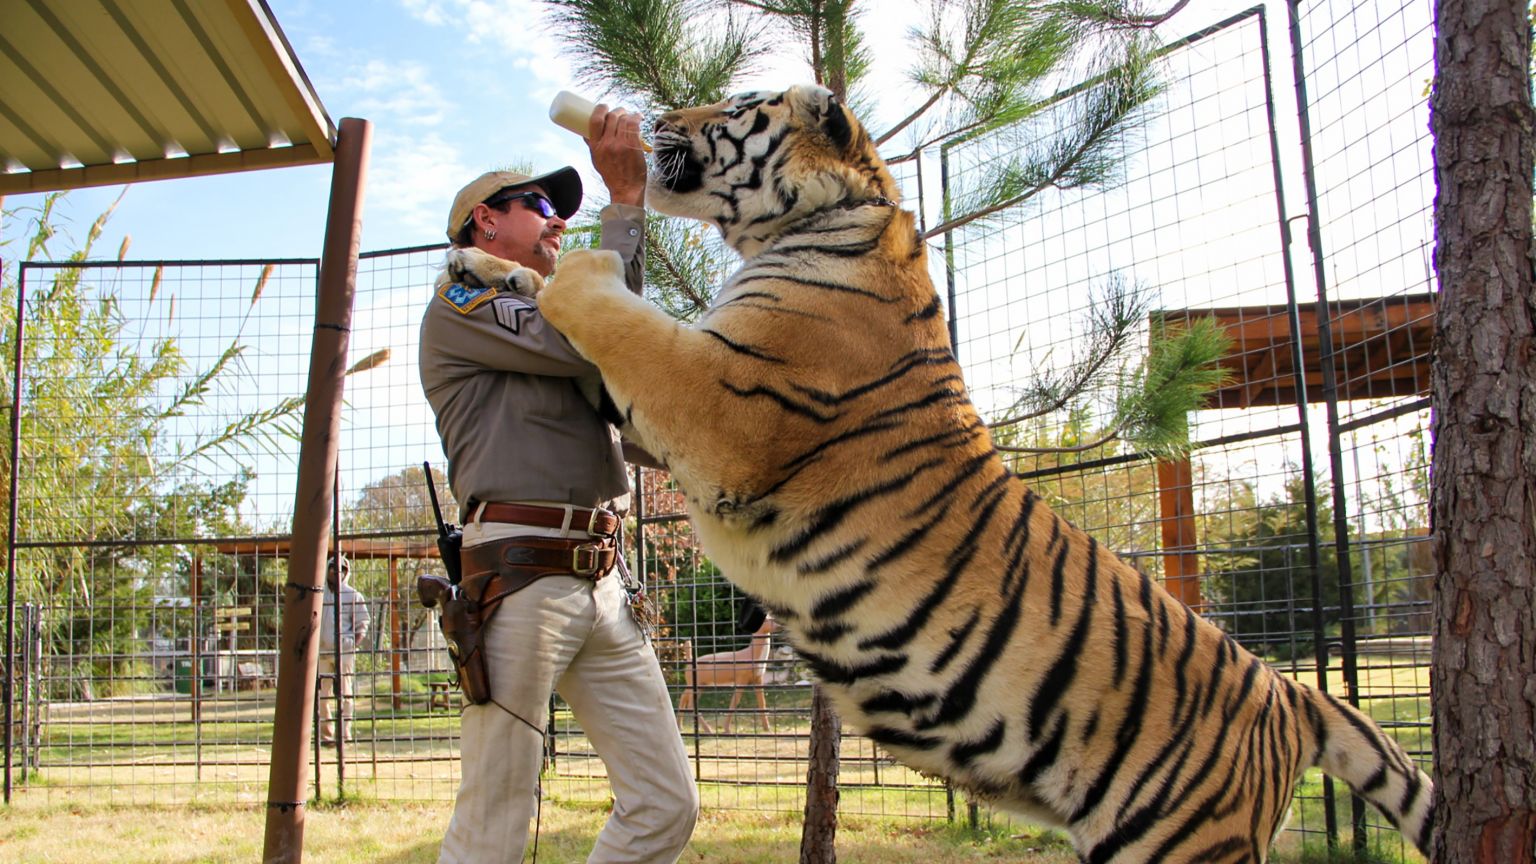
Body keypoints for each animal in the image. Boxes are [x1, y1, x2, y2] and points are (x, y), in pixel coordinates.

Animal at [458, 84, 1434, 862]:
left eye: (733, 105)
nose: (653, 116)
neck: (821, 219)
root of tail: (1290, 693)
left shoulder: (720, 405)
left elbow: (612, 310)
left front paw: (566, 261)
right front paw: (480, 261)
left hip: (1181, 843)